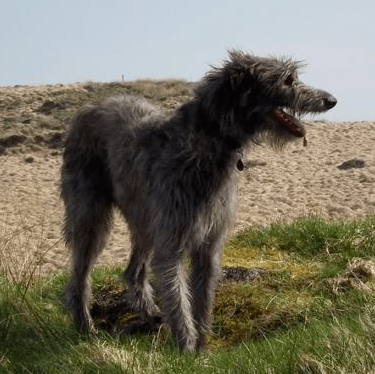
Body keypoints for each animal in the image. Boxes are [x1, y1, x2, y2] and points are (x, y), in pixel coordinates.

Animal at [61, 49, 338, 350]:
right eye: (287, 80)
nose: (331, 100)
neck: (209, 139)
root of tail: (90, 107)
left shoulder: (209, 242)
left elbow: (202, 297)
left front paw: (203, 345)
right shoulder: (173, 237)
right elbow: (177, 294)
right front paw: (186, 346)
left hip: (144, 218)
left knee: (134, 270)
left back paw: (151, 313)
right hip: (90, 213)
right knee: (80, 274)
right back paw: (85, 325)